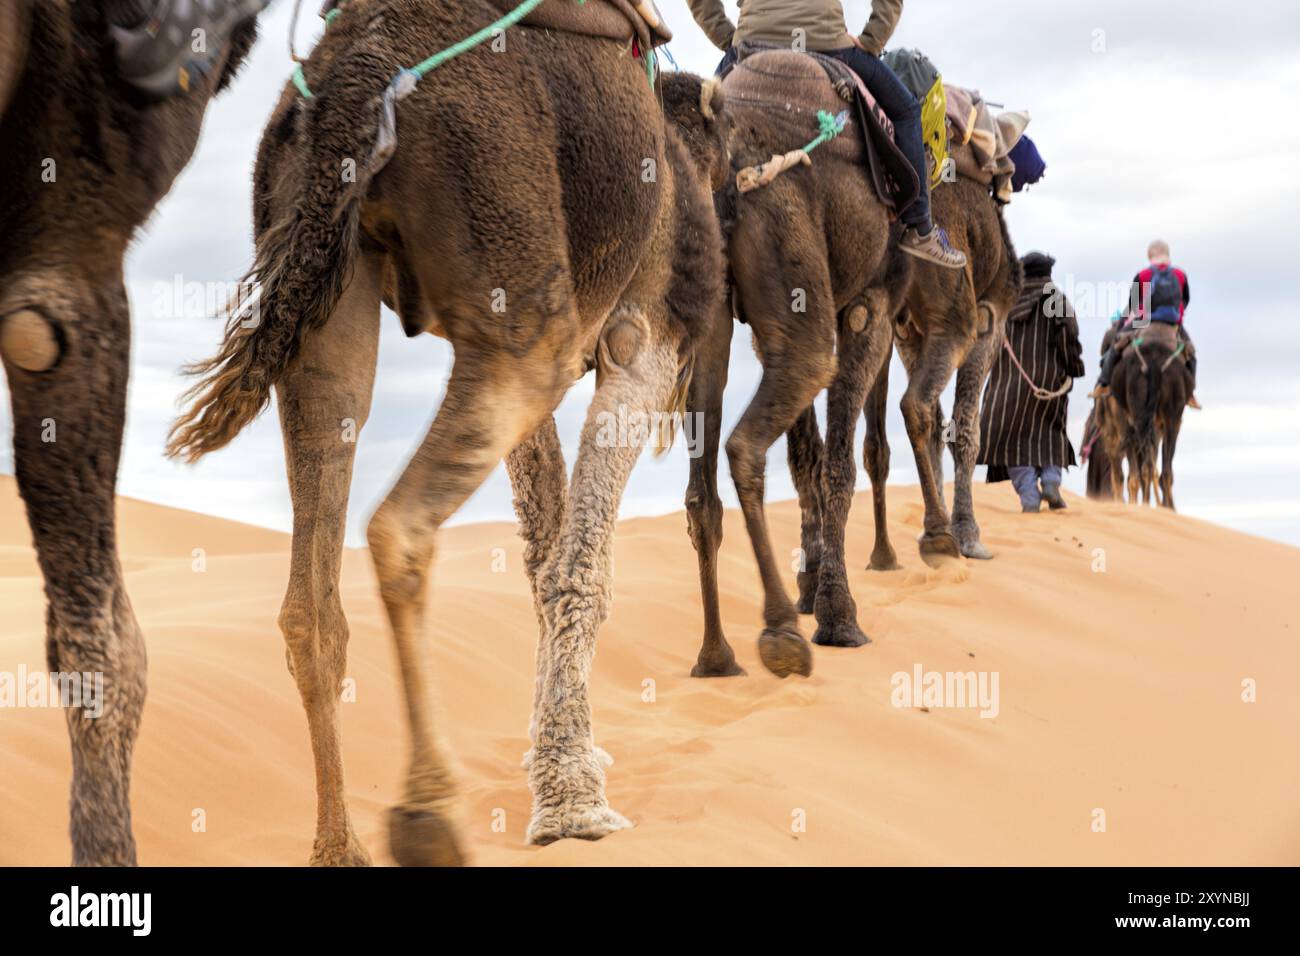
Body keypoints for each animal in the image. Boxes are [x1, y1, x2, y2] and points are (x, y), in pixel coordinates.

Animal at [167, 1, 728, 868]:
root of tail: (359, 67)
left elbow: (544, 554)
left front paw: (562, 770)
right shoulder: (646, 330)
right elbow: (582, 568)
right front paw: (576, 804)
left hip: (328, 279)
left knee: (311, 591)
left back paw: (341, 846)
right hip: (517, 282)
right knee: (398, 527)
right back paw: (427, 813)